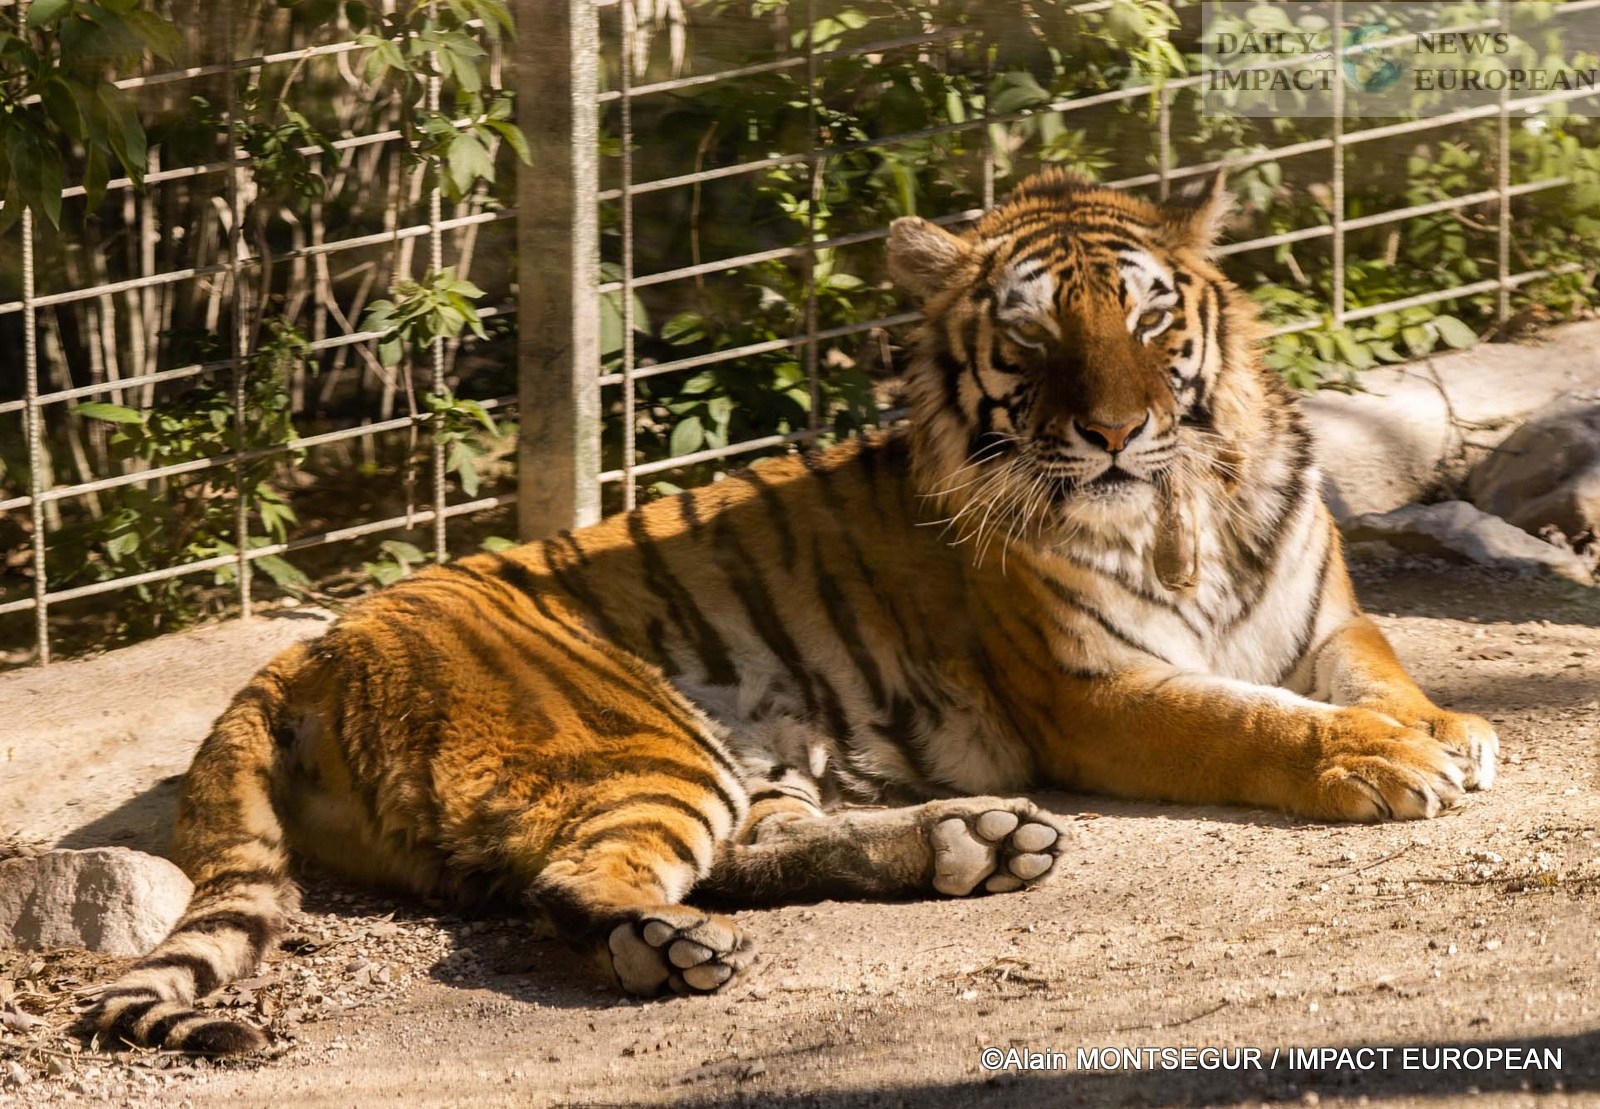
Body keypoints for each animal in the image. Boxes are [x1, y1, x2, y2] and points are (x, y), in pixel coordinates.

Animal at [86, 168, 1497, 1055]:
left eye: (1151, 317)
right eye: (1035, 339)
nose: (1112, 431)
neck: (1181, 501)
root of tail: (307, 651)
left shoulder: (1320, 620)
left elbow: (1376, 670)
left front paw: (1448, 729)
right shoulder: (1094, 692)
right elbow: (1252, 721)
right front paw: (1388, 762)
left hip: (732, 754)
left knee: (744, 848)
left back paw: (974, 844)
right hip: (642, 736)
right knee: (573, 882)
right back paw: (672, 950)